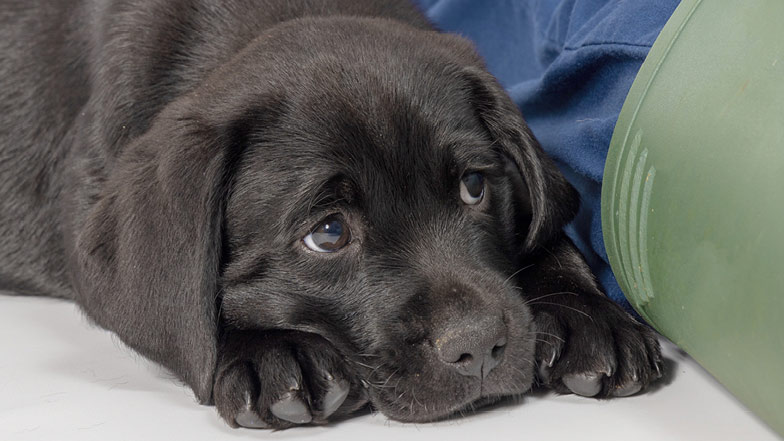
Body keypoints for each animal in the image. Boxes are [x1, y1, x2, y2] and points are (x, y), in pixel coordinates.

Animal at [0, 0, 660, 430]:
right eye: (329, 233)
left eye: (474, 188)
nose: (478, 347)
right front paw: (271, 352)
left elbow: (543, 226)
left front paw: (585, 313)